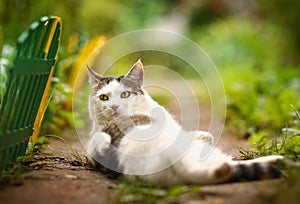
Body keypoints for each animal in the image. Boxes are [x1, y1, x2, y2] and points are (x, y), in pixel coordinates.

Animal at [85, 59, 282, 187]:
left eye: (125, 94)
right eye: (104, 98)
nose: (114, 106)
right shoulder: (94, 147)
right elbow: (97, 143)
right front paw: (104, 142)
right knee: (227, 167)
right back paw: (277, 160)